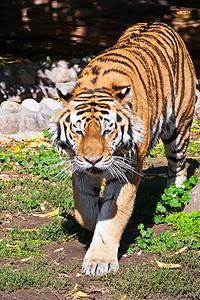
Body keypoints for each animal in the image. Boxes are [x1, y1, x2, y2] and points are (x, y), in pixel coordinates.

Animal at [49, 21, 197, 276]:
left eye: (107, 131)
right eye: (78, 131)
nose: (93, 160)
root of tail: (161, 22)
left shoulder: (127, 169)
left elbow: (111, 217)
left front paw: (99, 261)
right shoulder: (78, 166)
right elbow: (84, 208)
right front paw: (92, 223)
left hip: (179, 127)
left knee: (178, 165)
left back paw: (174, 196)